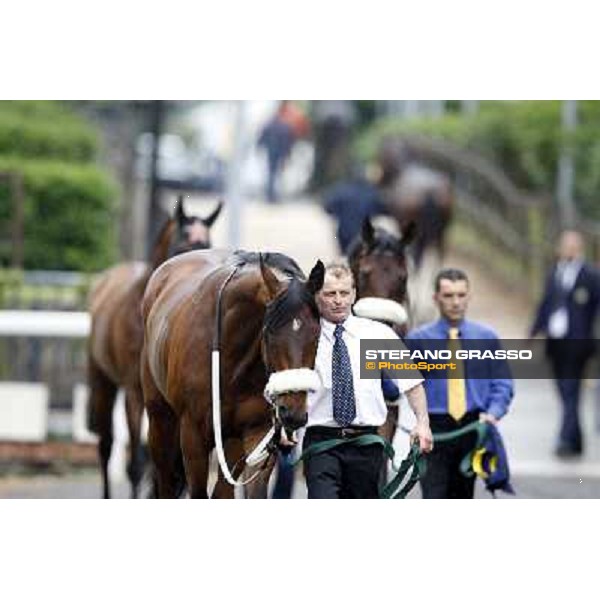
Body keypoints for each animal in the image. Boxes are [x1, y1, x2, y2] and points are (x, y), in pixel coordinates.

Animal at [86, 196, 223, 496]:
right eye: (183, 244)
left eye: (208, 243)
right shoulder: (134, 392)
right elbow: (136, 464)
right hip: (102, 379)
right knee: (106, 445)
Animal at [140, 248, 324, 496]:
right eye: (270, 332)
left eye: (316, 334)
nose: (293, 413)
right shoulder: (192, 434)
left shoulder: (257, 431)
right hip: (160, 419)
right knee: (166, 480)